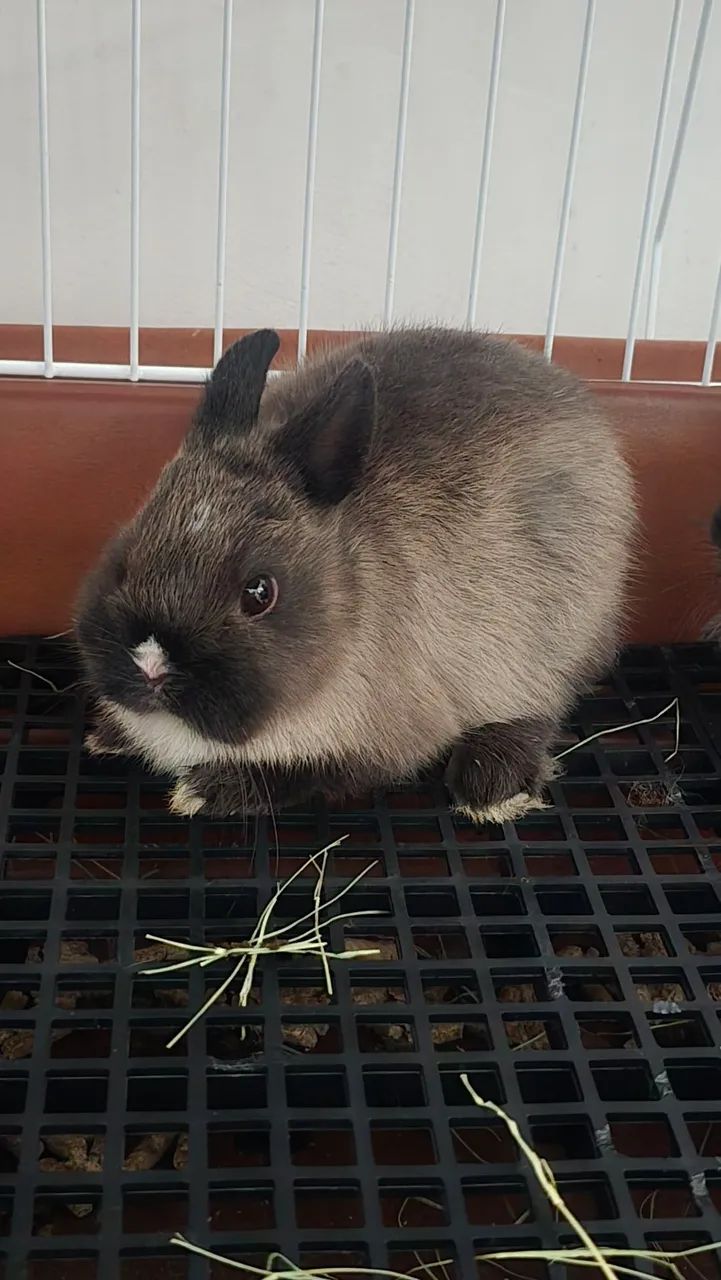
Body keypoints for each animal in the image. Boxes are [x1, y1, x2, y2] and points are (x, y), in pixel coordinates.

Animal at [75, 326, 635, 823]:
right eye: (125, 558)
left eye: (259, 593)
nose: (151, 663)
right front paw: (107, 735)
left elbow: (320, 773)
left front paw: (203, 791)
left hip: (546, 639)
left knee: (541, 706)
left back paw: (492, 789)